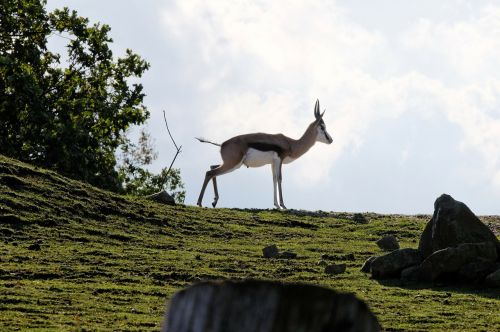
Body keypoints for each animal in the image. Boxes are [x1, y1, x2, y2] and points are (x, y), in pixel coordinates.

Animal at [195, 98, 332, 209]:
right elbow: (280, 178)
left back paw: (214, 201)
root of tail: (222, 144)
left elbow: (273, 179)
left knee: (212, 168)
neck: (291, 143)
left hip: (232, 164)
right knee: (210, 173)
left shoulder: (272, 163)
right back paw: (200, 203)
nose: (331, 139)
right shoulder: (279, 159)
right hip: (233, 164)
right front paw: (283, 205)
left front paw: (276, 205)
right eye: (322, 127)